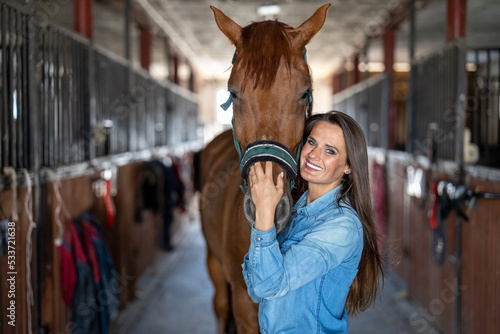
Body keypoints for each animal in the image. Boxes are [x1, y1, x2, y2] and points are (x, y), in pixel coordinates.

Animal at [199, 5, 332, 334]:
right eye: (233, 93)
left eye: (304, 93)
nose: (267, 209)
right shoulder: (245, 307)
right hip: (214, 265)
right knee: (220, 306)